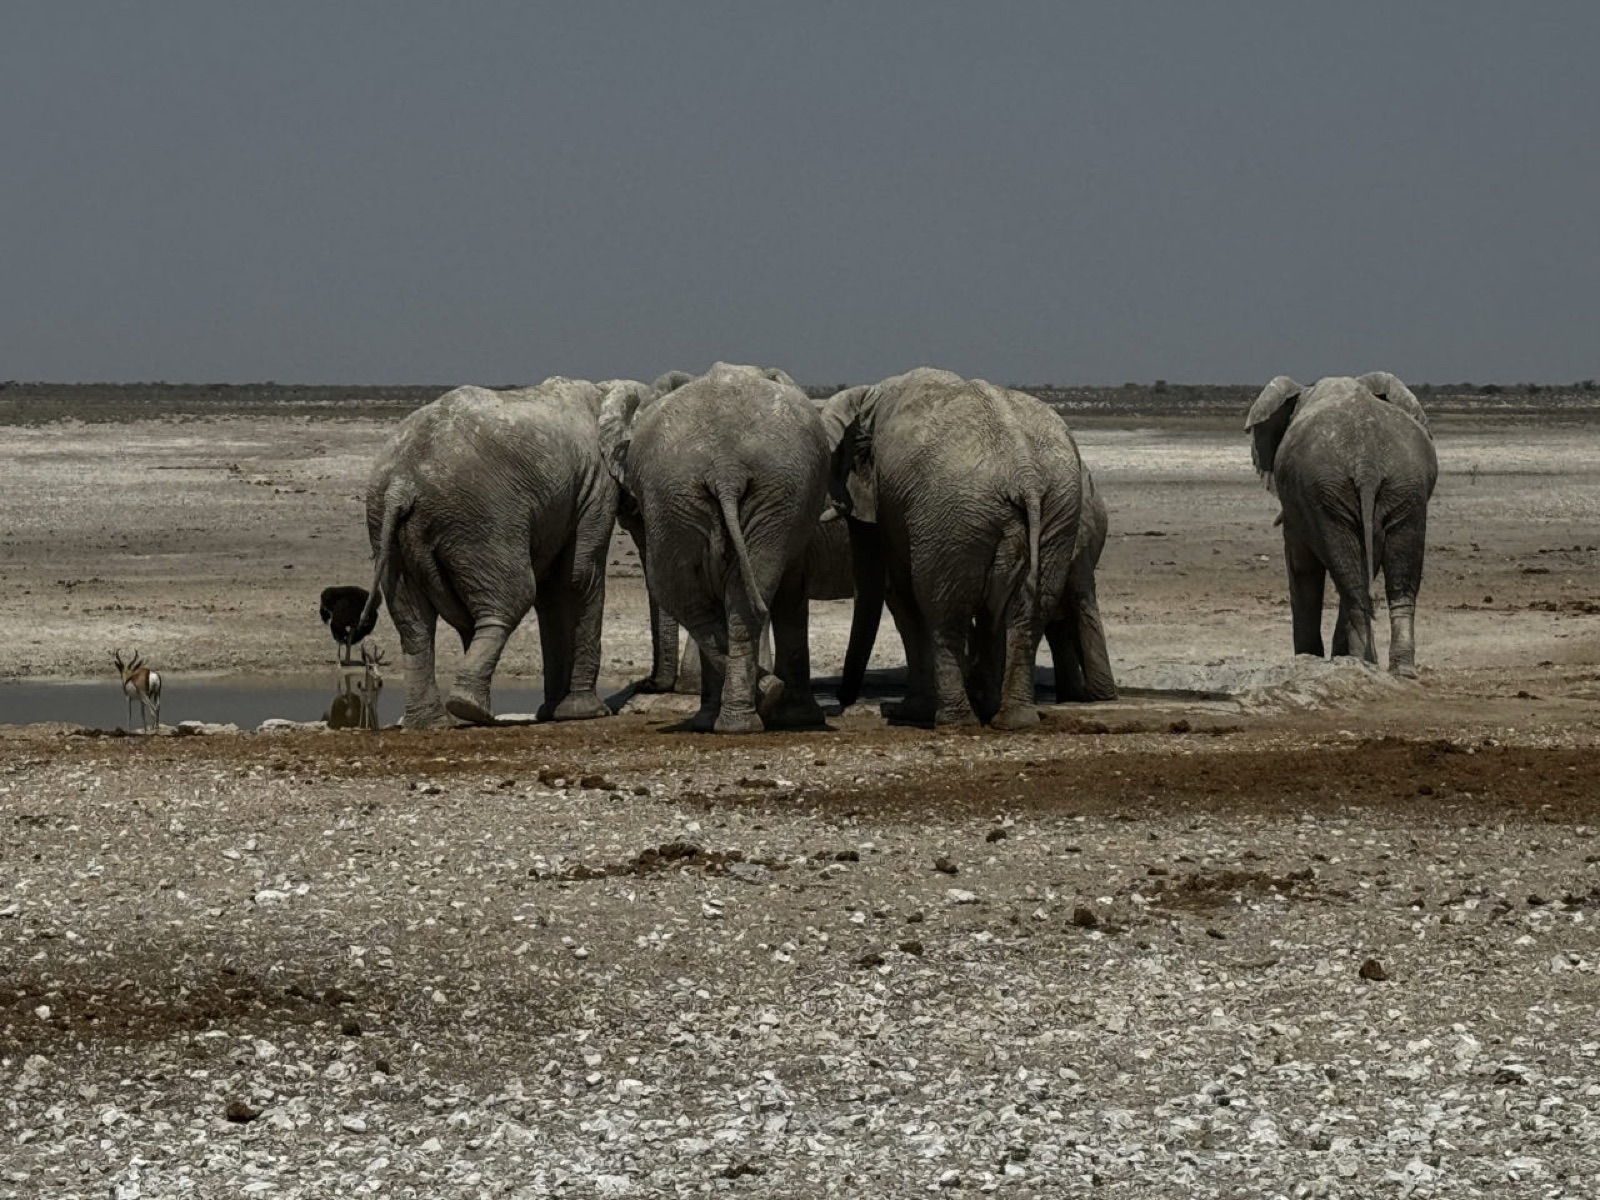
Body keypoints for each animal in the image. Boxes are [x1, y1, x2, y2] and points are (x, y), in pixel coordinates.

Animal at [360, 377, 622, 727]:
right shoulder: (596, 483)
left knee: (414, 625)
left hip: (390, 532)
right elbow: (578, 579)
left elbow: (554, 592)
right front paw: (586, 713)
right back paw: (470, 710)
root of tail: (401, 484)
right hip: (479, 519)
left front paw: (554, 712)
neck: (605, 390)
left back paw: (436, 722)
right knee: (513, 596)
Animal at [598, 363, 829, 733]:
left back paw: (746, 710)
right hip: (707, 491)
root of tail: (726, 467)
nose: (645, 684)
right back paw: (748, 712)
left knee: (683, 595)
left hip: (707, 492)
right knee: (728, 600)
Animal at [821, 368, 1087, 728]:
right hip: (1056, 509)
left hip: (953, 516)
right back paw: (1011, 720)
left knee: (943, 611)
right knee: (1027, 614)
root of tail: (1024, 473)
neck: (871, 397)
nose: (841, 701)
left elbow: (901, 595)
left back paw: (954, 722)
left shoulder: (893, 504)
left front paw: (909, 713)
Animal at [1246, 372, 1438, 676]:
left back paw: (1361, 662)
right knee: (1396, 575)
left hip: (1328, 492)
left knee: (1350, 579)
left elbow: (1301, 566)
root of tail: (1367, 463)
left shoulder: (1300, 506)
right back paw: (1399, 670)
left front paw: (1309, 657)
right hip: (1404, 486)